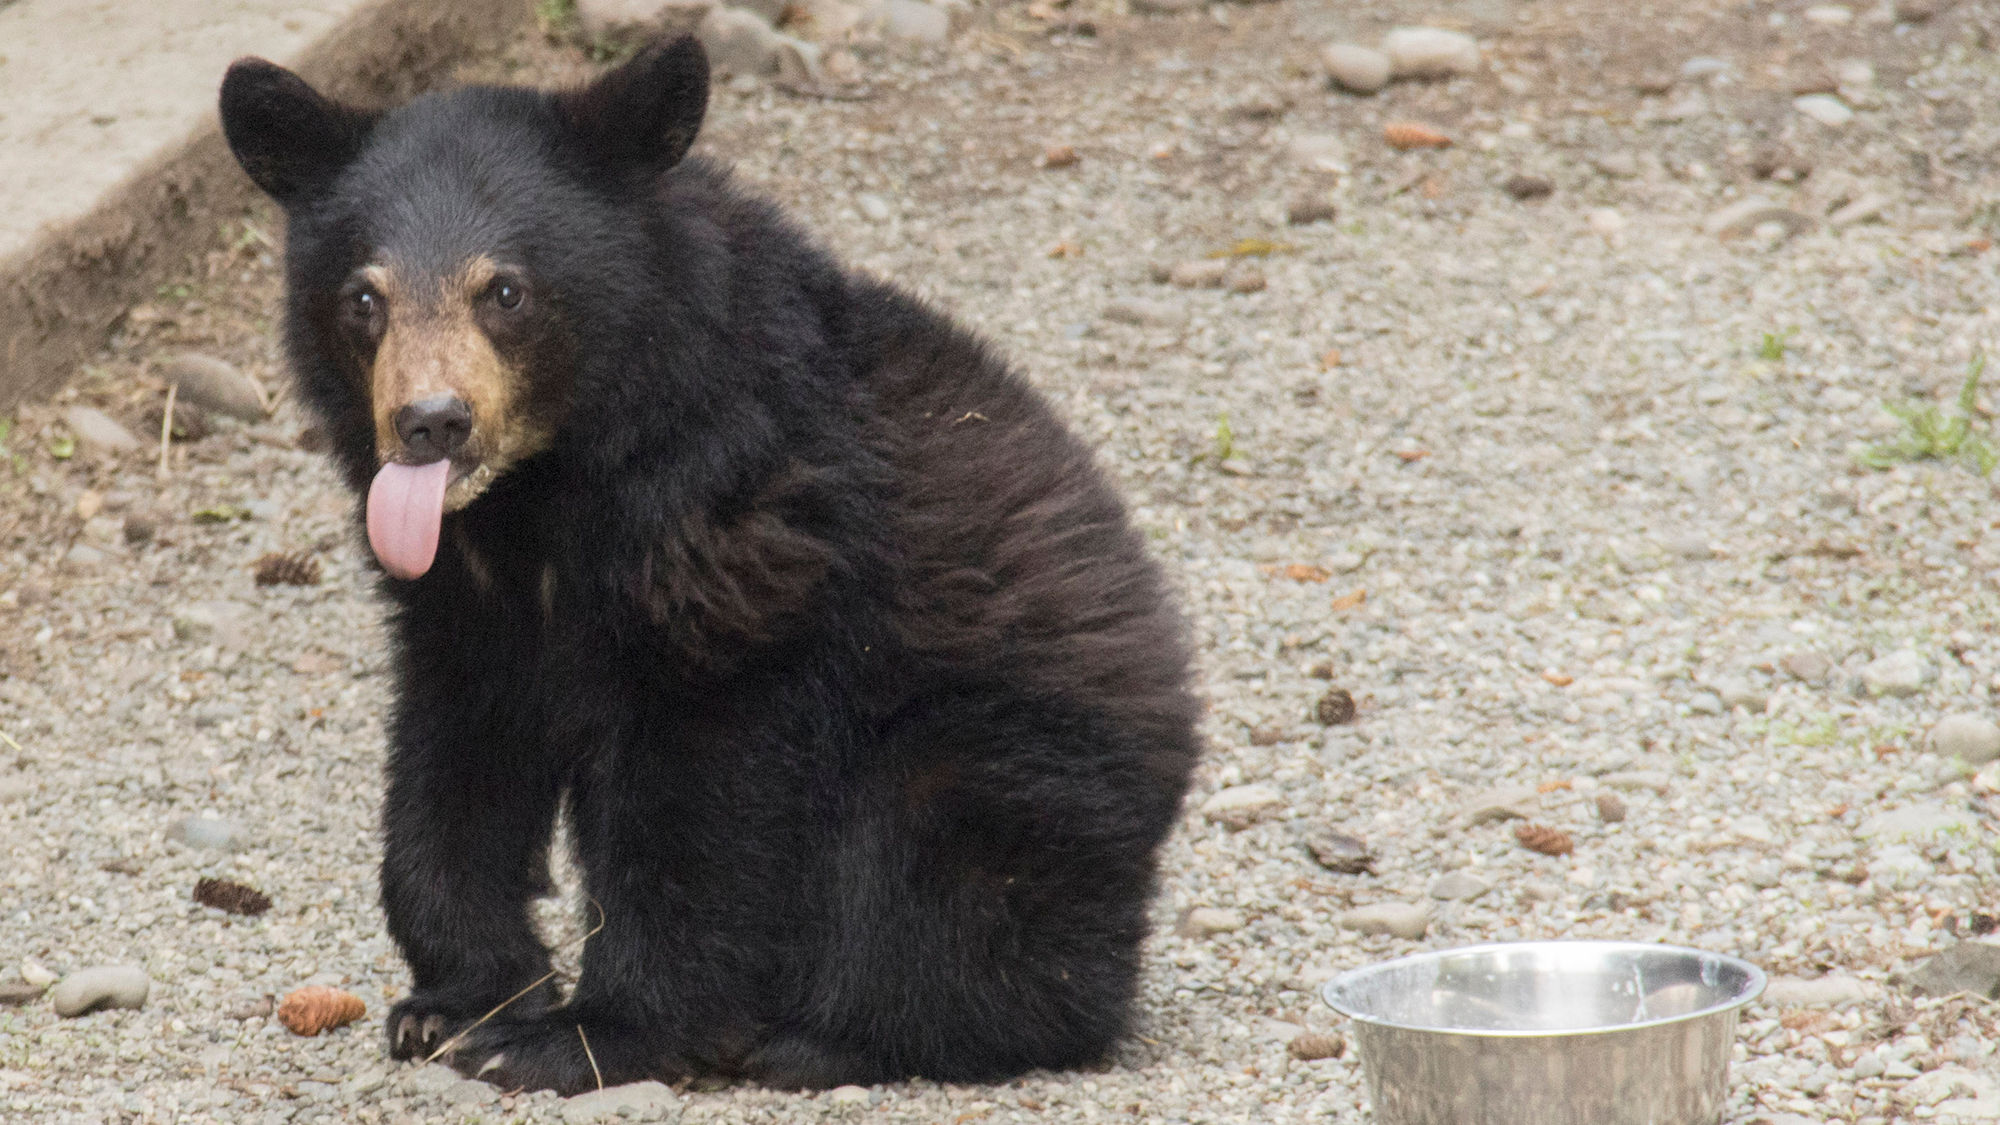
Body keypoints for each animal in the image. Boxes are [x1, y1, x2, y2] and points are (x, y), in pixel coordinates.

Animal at [217, 36, 1200, 1094]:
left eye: (506, 291)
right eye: (365, 298)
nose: (430, 423)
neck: (549, 491)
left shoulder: (746, 551)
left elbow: (695, 804)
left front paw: (584, 1035)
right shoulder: (467, 602)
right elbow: (454, 755)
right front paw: (460, 1000)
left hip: (1000, 768)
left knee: (933, 882)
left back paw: (829, 1038)